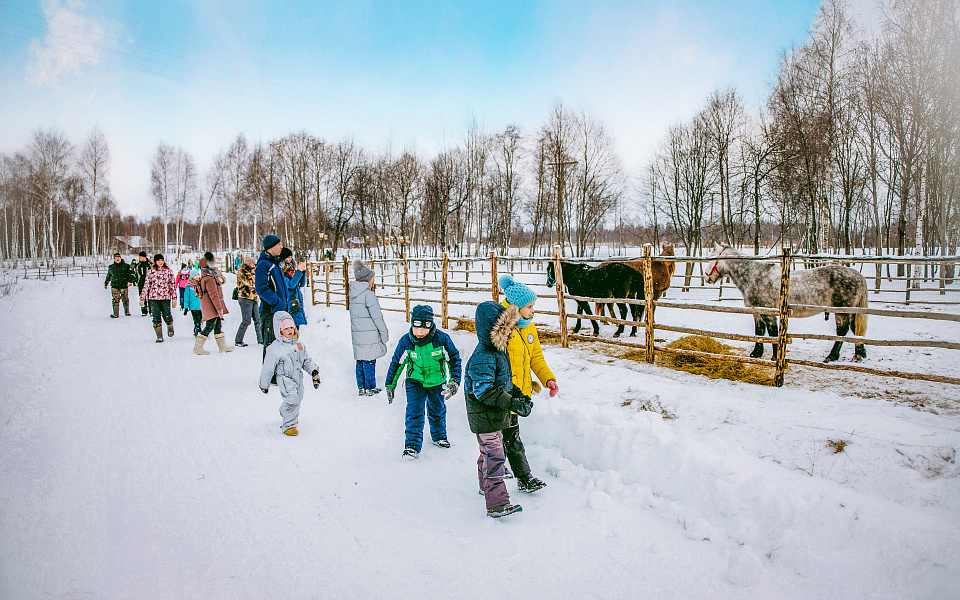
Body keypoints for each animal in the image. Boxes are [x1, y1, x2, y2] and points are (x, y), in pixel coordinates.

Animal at [704, 243, 872, 360]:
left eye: (712, 258)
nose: (706, 277)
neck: (755, 276)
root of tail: (859, 276)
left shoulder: (768, 313)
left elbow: (772, 333)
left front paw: (774, 356)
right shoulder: (757, 312)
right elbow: (759, 332)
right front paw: (756, 353)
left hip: (842, 311)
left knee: (842, 332)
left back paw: (832, 356)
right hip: (851, 312)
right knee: (855, 330)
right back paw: (859, 354)